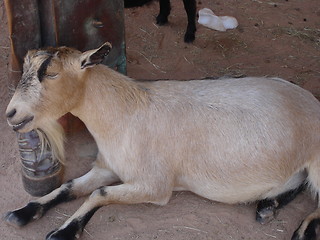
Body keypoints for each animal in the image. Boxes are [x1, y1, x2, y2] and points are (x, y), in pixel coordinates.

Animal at [4, 42, 320, 239]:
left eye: (52, 73)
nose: (11, 113)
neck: (124, 114)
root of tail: (311, 99)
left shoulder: (154, 186)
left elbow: (99, 194)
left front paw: (62, 232)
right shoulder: (107, 167)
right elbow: (69, 186)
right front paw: (22, 213)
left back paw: (303, 231)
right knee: (297, 183)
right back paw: (268, 206)